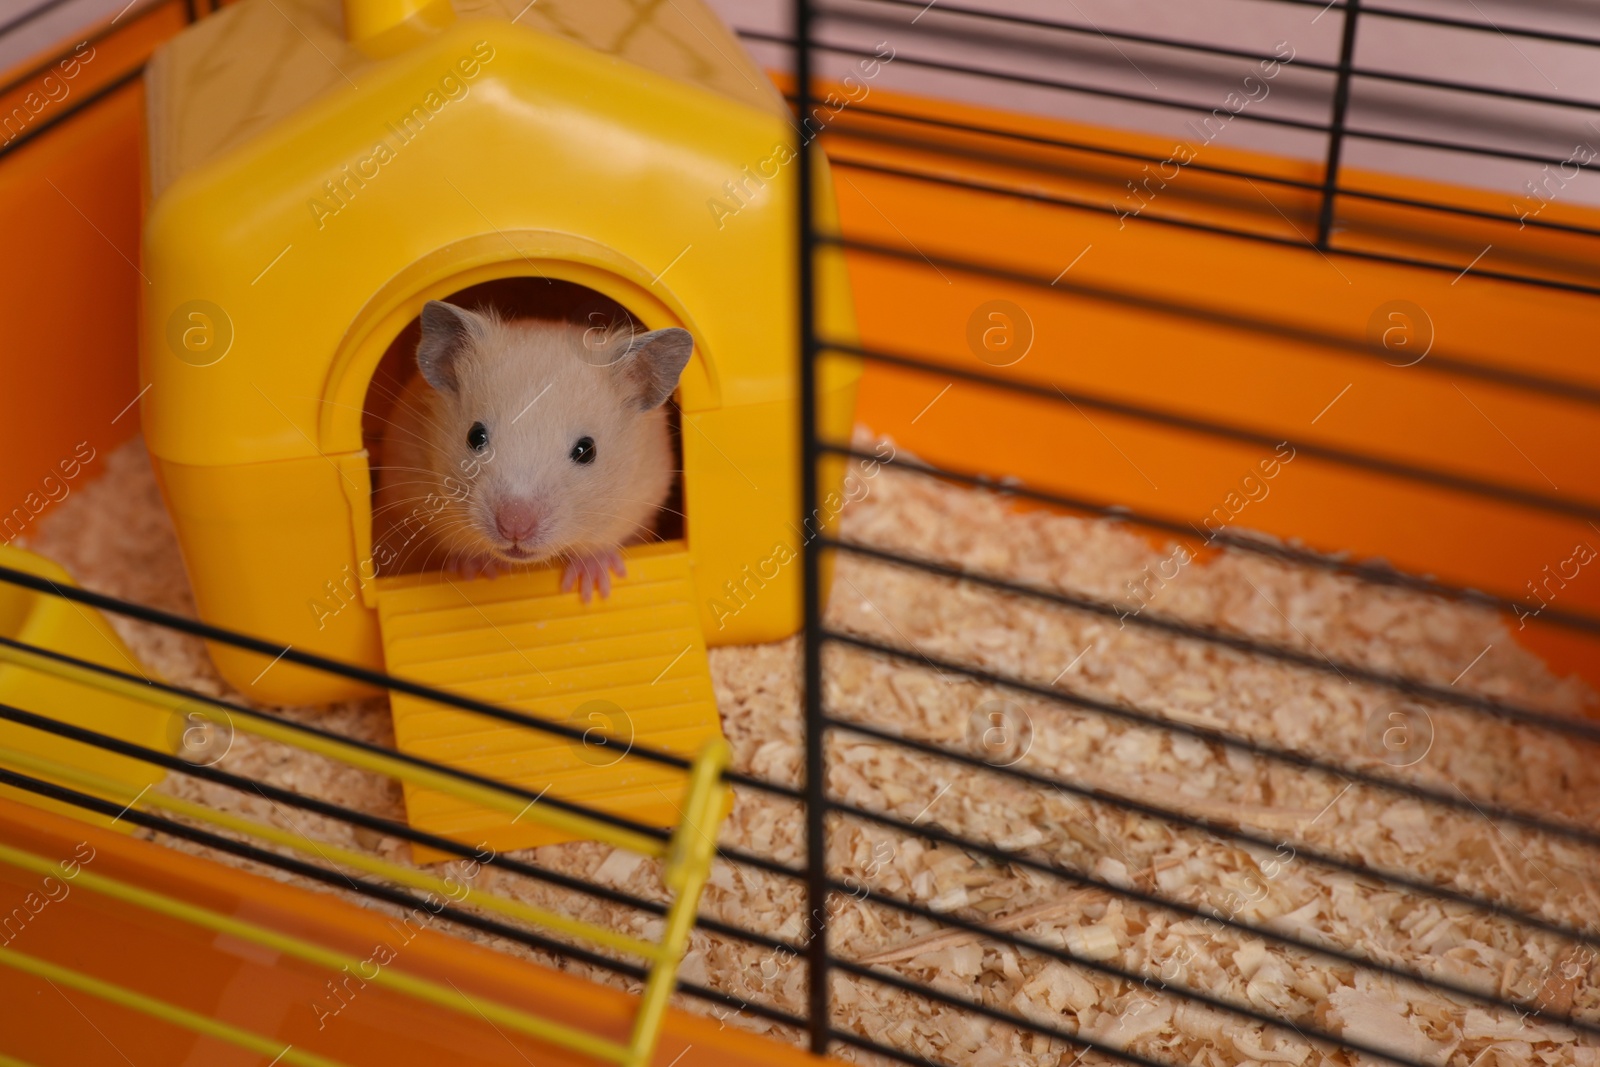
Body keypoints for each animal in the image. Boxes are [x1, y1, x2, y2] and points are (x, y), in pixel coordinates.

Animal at [377, 300, 697, 601]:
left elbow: (602, 540)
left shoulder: (644, 491)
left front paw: (590, 586)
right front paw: (478, 570)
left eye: (586, 450)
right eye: (475, 436)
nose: (514, 528)